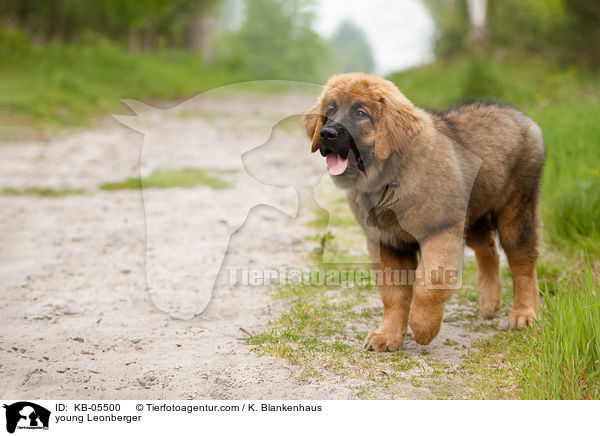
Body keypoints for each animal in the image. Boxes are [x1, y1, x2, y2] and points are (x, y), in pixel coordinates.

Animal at [302, 72, 548, 350]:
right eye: (330, 111)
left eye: (360, 113)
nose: (327, 133)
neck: (389, 176)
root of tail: (520, 115)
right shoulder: (387, 243)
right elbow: (393, 295)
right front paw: (388, 335)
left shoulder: (441, 230)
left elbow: (430, 282)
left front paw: (423, 326)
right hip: (471, 214)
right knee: (488, 250)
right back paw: (489, 301)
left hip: (515, 211)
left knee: (522, 262)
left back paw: (524, 314)